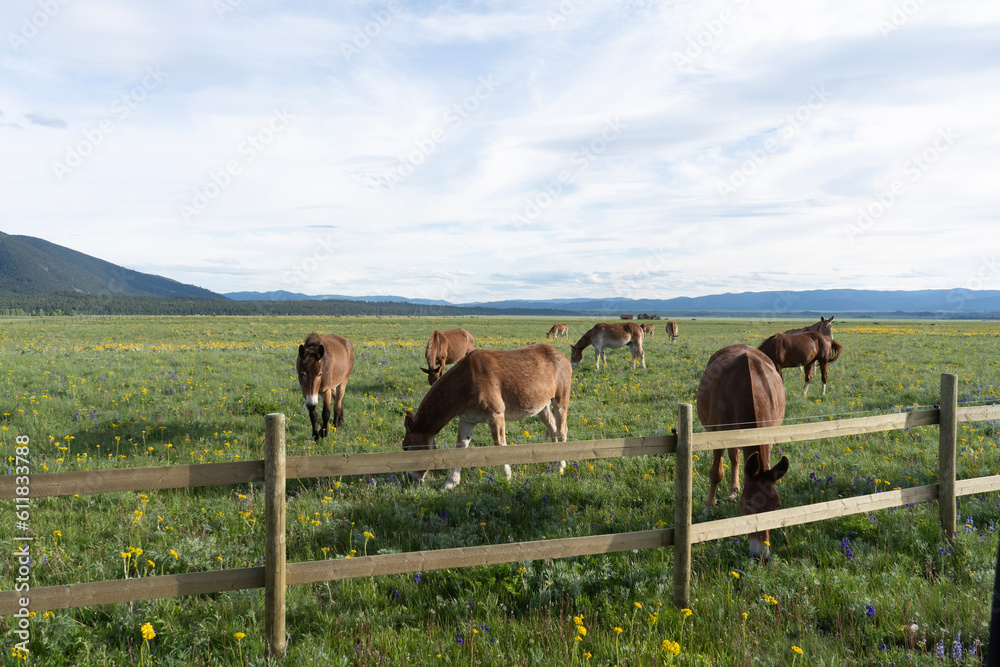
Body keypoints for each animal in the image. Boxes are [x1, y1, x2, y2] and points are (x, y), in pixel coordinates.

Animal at [402, 343, 572, 489]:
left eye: (406, 448)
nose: (410, 479)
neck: (465, 381)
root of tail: (562, 356)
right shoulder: (467, 419)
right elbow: (460, 448)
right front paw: (450, 482)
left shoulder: (495, 415)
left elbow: (499, 445)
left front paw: (506, 476)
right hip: (542, 407)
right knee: (553, 429)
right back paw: (555, 463)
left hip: (560, 400)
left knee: (562, 431)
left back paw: (560, 467)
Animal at [697, 344, 789, 560]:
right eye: (748, 504)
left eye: (777, 506)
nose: (760, 555)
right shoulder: (718, 435)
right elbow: (716, 474)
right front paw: (708, 507)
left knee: (736, 457)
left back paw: (733, 490)